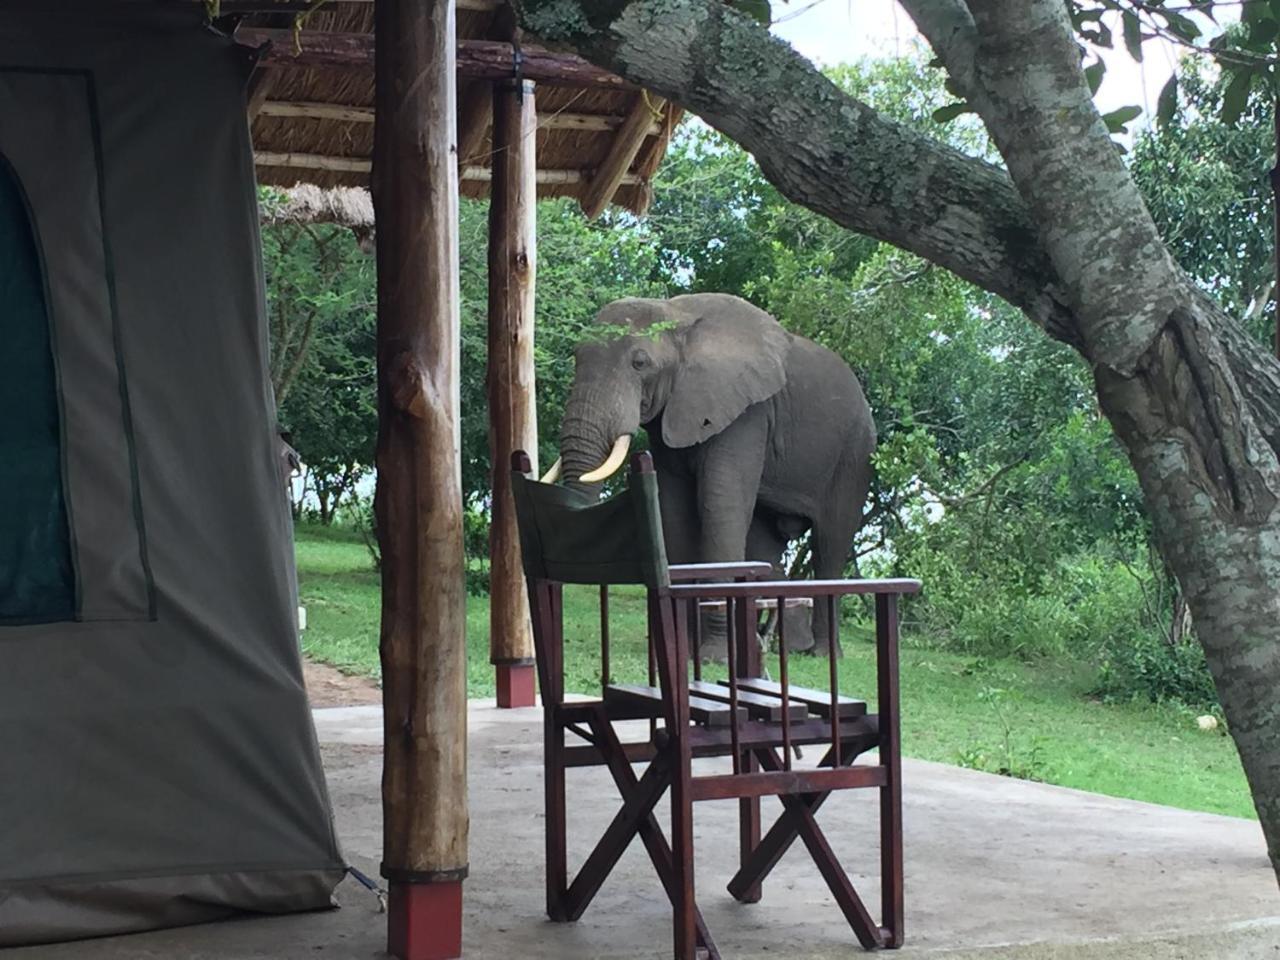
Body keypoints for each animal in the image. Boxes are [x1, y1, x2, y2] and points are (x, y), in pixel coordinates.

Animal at [545, 289, 875, 660]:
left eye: (640, 363)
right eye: (576, 357)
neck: (677, 316)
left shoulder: (746, 412)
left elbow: (719, 507)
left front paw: (714, 656)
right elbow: (674, 510)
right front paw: (687, 650)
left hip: (855, 453)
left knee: (831, 541)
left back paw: (821, 653)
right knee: (766, 543)